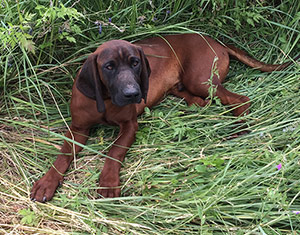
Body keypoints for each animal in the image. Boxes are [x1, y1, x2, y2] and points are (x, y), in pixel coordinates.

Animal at [29, 33, 296, 202]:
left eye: (135, 63)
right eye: (109, 66)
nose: (133, 94)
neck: (105, 99)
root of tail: (213, 39)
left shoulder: (129, 126)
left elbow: (115, 151)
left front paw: (108, 182)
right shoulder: (78, 128)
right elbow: (63, 155)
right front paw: (47, 182)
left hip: (200, 80)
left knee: (240, 100)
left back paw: (240, 129)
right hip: (187, 85)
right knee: (201, 100)